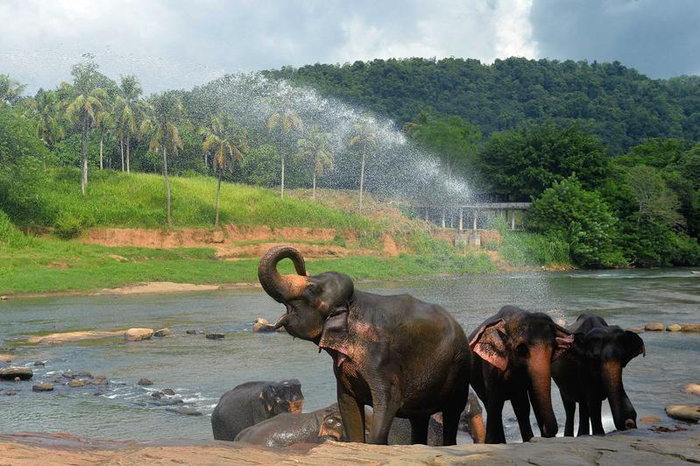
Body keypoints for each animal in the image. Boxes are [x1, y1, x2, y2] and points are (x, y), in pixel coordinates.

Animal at [258, 245, 472, 445]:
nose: (303, 268)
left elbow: (389, 401)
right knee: (419, 419)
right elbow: (347, 404)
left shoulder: (382, 360)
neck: (354, 303)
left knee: (452, 413)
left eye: (311, 289)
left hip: (460, 371)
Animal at [468, 305, 573, 443]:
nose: (544, 429)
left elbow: (532, 399)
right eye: (521, 349)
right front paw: (492, 443)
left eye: (553, 347)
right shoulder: (490, 367)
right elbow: (494, 403)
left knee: (521, 407)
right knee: (492, 406)